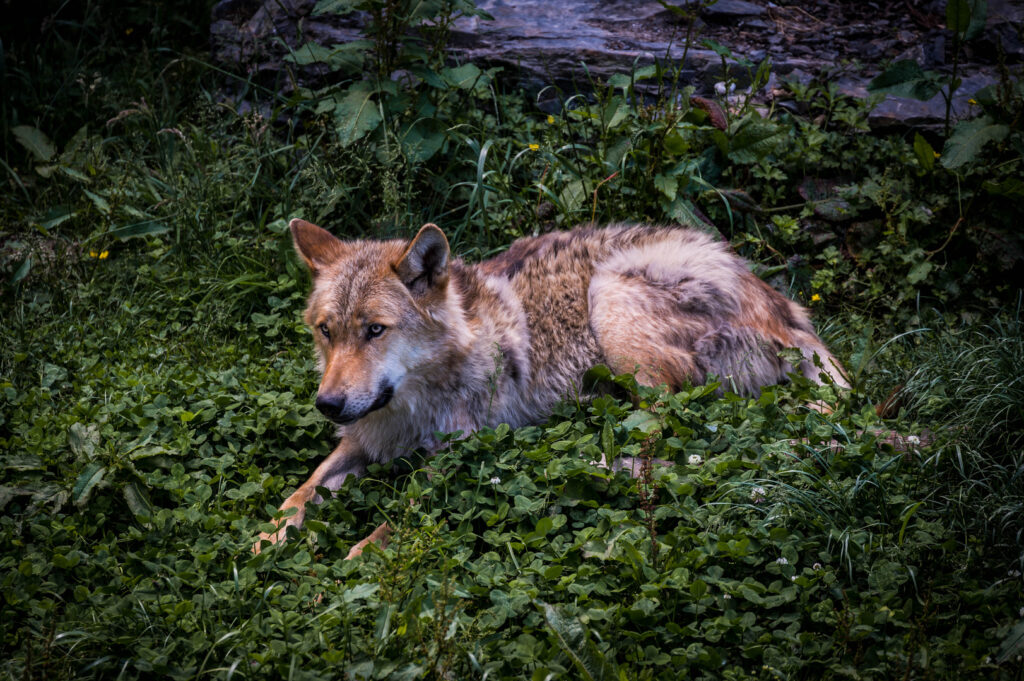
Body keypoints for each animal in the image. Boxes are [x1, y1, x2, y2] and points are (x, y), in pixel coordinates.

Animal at [256, 220, 847, 548]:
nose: (328, 404)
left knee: (675, 437)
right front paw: (266, 539)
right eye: (326, 331)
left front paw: (353, 564)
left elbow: (397, 518)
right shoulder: (360, 439)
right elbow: (300, 492)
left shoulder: (458, 457)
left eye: (375, 330)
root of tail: (787, 312)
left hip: (610, 301)